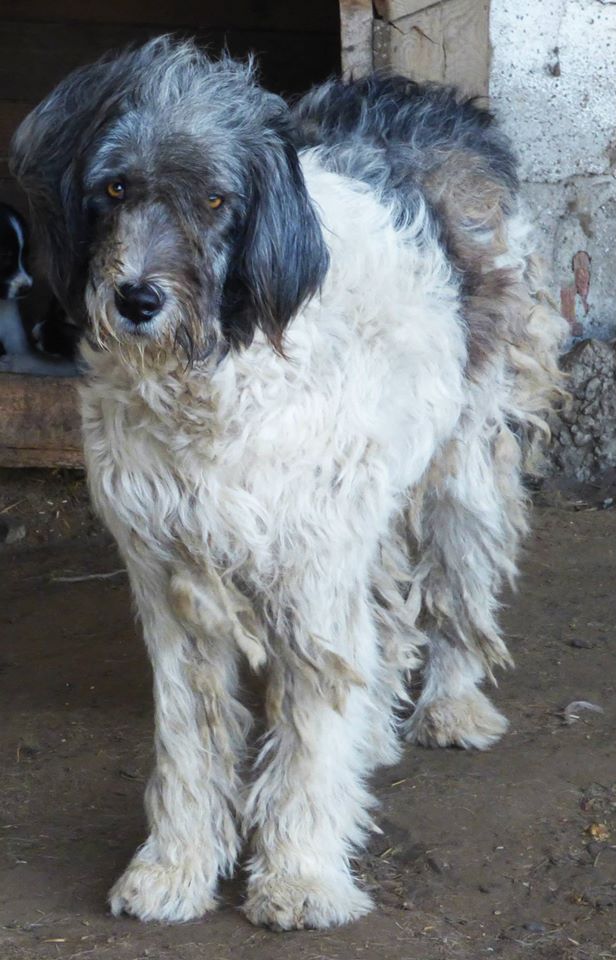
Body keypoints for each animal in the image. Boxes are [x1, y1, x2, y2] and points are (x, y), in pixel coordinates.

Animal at [10, 37, 568, 928]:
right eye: (116, 187)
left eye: (214, 199)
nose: (137, 299)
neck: (214, 373)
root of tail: (433, 96)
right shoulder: (172, 573)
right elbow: (189, 736)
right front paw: (174, 868)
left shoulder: (310, 564)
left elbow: (307, 731)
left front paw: (300, 875)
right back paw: (373, 730)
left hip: (465, 464)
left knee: (459, 591)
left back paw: (452, 705)